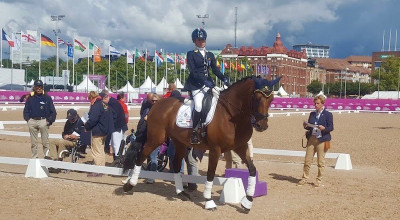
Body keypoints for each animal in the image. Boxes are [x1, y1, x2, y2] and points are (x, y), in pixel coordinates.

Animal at [123, 75, 280, 211]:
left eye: (271, 99)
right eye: (257, 98)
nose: (261, 126)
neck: (232, 116)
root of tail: (157, 103)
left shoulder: (240, 147)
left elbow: (252, 170)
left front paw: (247, 202)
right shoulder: (215, 149)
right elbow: (210, 174)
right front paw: (209, 201)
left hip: (179, 142)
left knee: (175, 165)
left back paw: (181, 193)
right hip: (156, 138)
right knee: (140, 157)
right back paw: (129, 185)